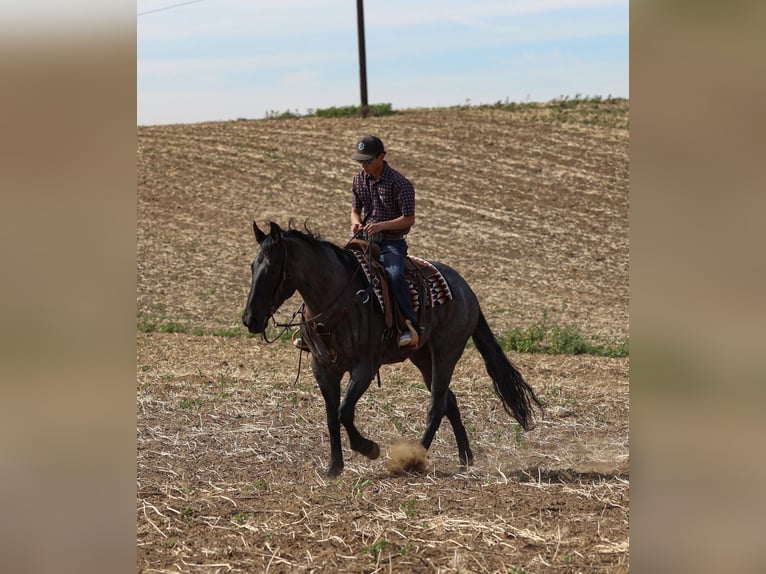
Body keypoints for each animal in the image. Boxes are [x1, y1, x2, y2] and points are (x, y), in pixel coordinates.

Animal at [242, 220, 542, 478]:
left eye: (271, 269)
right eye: (252, 266)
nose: (250, 319)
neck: (335, 300)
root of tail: (467, 290)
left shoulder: (365, 367)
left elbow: (344, 412)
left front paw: (369, 449)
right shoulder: (323, 369)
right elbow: (331, 417)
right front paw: (334, 468)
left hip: (446, 352)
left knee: (437, 405)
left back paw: (414, 459)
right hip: (422, 357)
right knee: (449, 400)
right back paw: (465, 457)